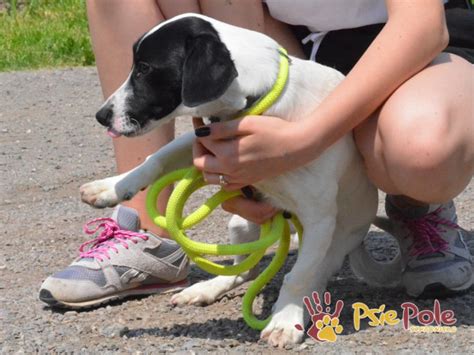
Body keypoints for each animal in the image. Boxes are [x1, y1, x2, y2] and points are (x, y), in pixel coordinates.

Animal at [80, 13, 396, 348]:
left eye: (144, 68)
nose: (101, 116)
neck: (259, 101)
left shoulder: (319, 219)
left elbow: (297, 277)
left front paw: (286, 321)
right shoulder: (204, 140)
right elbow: (155, 159)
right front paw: (110, 187)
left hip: (335, 239)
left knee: (312, 274)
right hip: (240, 225)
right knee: (242, 270)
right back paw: (204, 290)